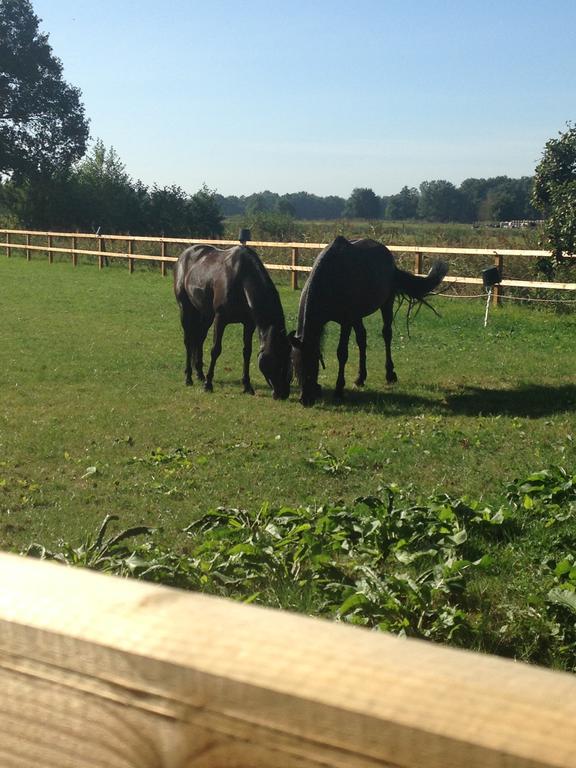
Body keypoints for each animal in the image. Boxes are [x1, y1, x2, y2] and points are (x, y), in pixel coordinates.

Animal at [174, 243, 292, 400]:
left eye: (289, 360)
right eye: (277, 359)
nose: (283, 393)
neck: (241, 279)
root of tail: (184, 255)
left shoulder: (249, 324)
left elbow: (247, 352)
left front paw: (247, 386)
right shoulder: (220, 319)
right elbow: (215, 350)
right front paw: (208, 385)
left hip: (205, 314)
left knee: (199, 339)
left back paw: (200, 374)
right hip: (186, 309)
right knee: (188, 341)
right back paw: (189, 378)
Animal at [290, 237, 448, 408]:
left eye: (313, 364)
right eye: (295, 366)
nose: (305, 400)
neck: (331, 278)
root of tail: (389, 257)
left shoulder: (346, 322)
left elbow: (342, 353)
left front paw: (339, 390)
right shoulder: (348, 319)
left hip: (386, 304)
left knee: (386, 334)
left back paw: (390, 374)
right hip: (358, 316)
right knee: (362, 338)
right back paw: (361, 377)